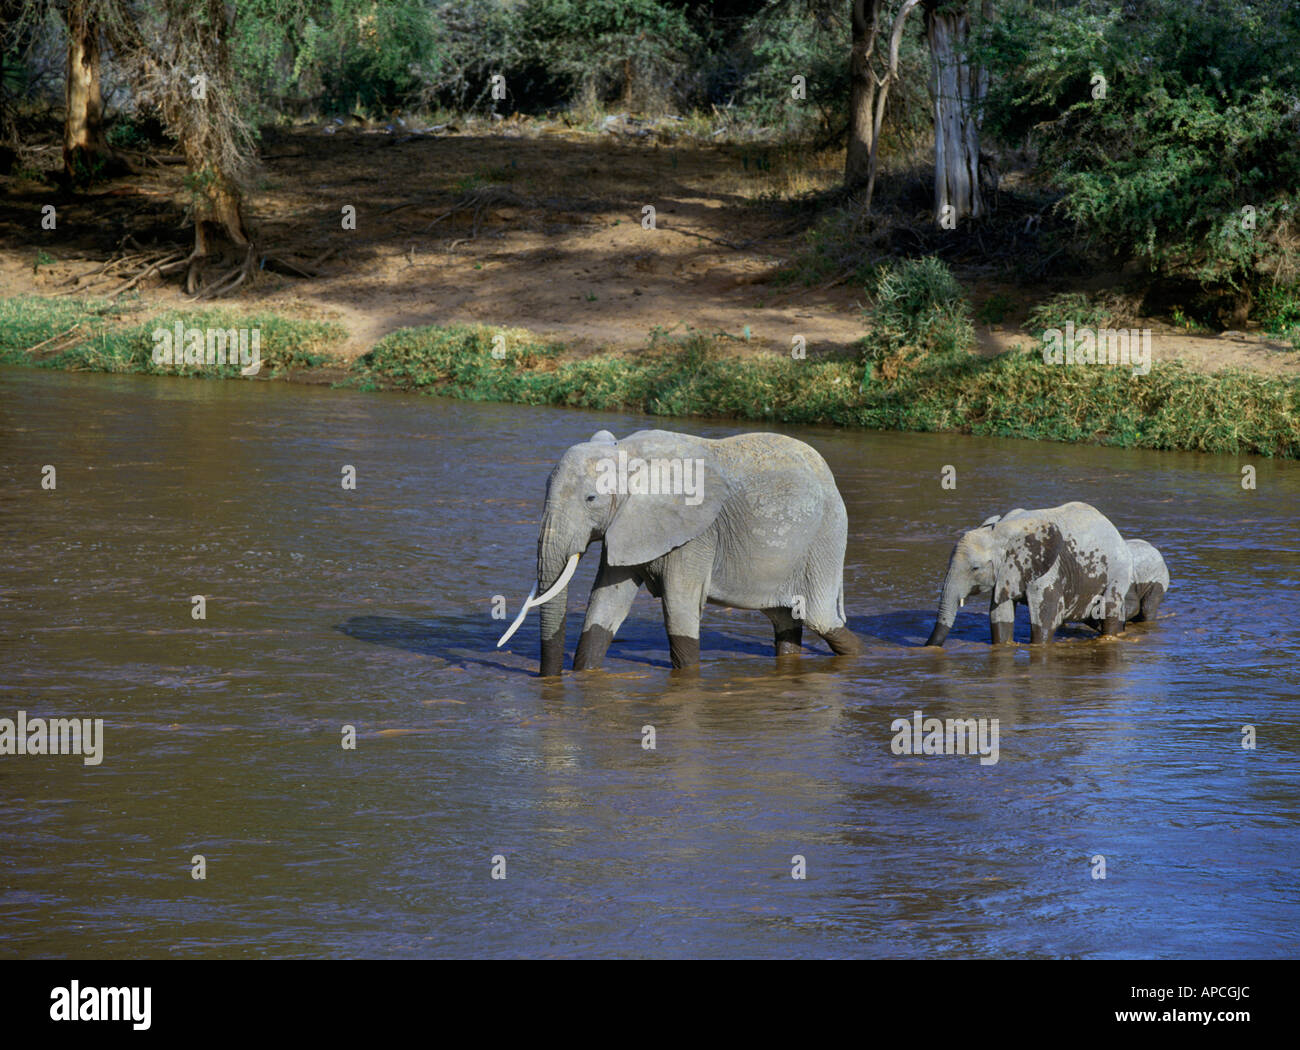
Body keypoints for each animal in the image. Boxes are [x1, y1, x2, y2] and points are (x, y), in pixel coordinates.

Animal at [496, 431, 863, 675]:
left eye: (591, 499)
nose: (548, 678)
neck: (628, 452)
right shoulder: (628, 525)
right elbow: (605, 604)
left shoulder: (695, 535)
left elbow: (678, 608)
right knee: (786, 620)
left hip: (826, 538)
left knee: (819, 618)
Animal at [925, 501, 1138, 644]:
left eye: (975, 568)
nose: (927, 646)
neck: (999, 531)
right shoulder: (1005, 575)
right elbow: (1000, 616)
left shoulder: (1047, 570)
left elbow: (1046, 619)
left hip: (1119, 571)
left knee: (1108, 609)